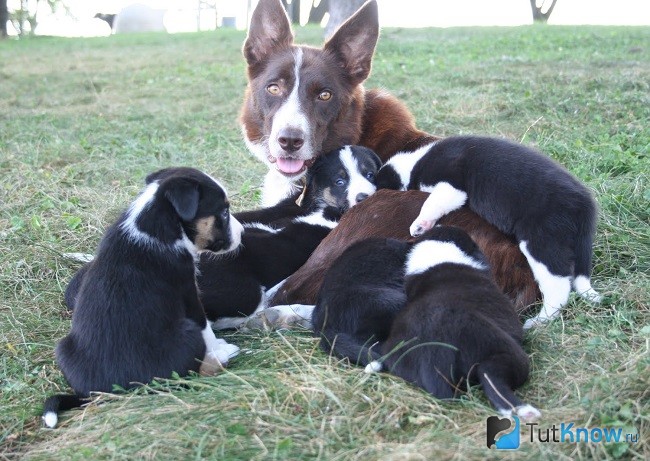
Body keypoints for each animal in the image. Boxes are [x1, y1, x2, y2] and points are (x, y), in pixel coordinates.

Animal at [43, 167, 243, 426]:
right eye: (224, 212)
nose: (243, 232)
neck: (159, 223)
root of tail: (111, 393)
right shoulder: (188, 290)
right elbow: (205, 326)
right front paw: (218, 347)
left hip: (63, 348)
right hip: (186, 335)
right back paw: (224, 356)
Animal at [378, 135, 600, 328]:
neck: (416, 163)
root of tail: (584, 205)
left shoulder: (451, 184)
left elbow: (433, 202)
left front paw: (419, 225)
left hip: (542, 241)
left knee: (558, 285)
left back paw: (541, 320)